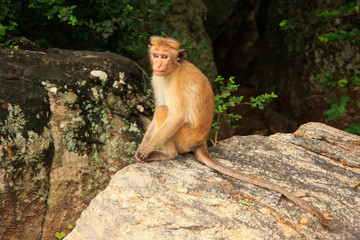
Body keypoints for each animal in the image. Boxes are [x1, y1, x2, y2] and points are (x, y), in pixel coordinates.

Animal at [136, 34, 332, 228]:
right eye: (156, 55)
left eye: (164, 56)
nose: (158, 64)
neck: (173, 70)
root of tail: (202, 142)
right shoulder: (156, 78)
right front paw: (141, 148)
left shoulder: (178, 83)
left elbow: (176, 116)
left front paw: (146, 150)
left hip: (185, 138)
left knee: (163, 111)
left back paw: (168, 154)